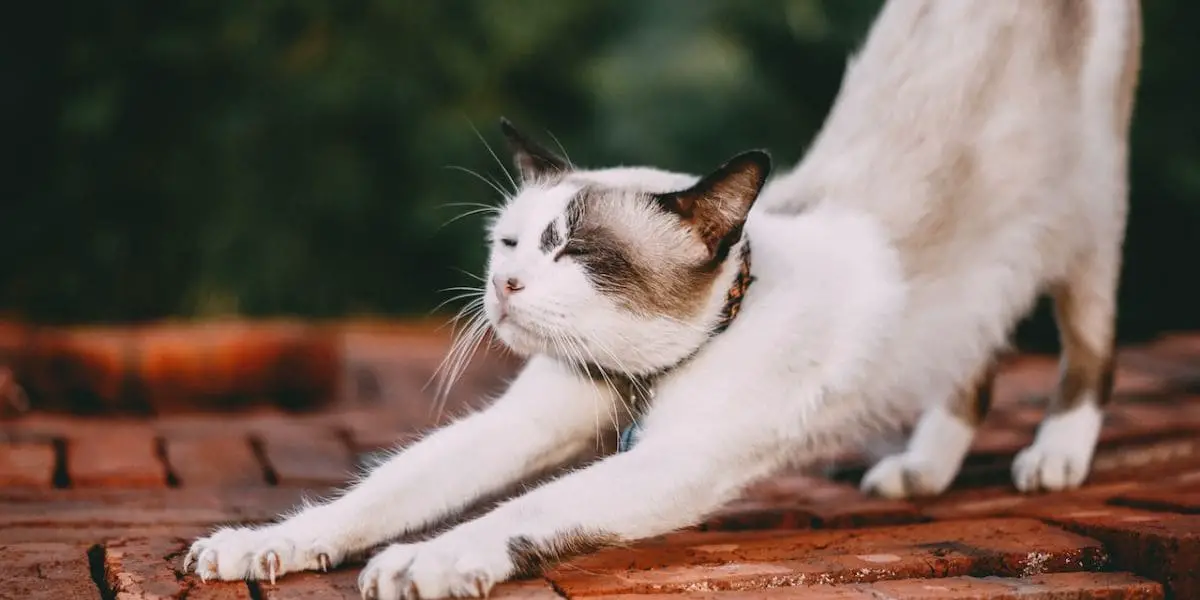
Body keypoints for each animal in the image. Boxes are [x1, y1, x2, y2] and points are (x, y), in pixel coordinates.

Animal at [182, 2, 1137, 597]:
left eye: (575, 251)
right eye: (510, 244)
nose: (503, 286)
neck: (643, 374)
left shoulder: (676, 461)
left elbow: (522, 511)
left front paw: (425, 564)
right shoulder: (526, 423)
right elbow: (375, 496)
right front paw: (254, 547)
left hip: (1083, 225)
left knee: (1087, 349)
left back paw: (1054, 456)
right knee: (974, 355)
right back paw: (921, 470)